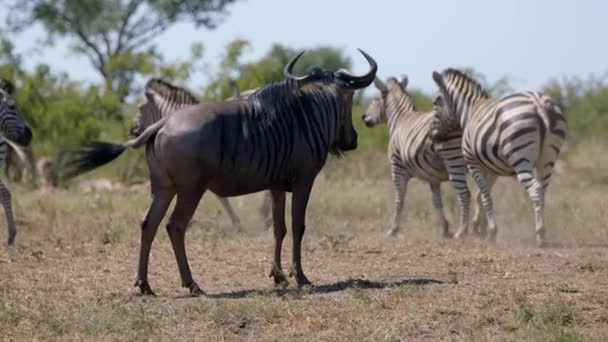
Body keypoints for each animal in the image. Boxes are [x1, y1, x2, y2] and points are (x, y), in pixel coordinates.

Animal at [360, 75, 470, 238]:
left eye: (376, 98)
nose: (364, 117)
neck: (400, 119)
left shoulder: (397, 168)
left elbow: (399, 199)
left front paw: (393, 229)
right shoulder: (432, 175)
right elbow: (437, 201)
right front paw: (444, 228)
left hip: (454, 161)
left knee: (465, 194)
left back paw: (463, 231)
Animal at [430, 69, 568, 246]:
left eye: (435, 102)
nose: (434, 138)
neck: (470, 110)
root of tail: (539, 104)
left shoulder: (473, 164)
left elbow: (485, 197)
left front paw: (491, 233)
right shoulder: (492, 169)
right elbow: (480, 195)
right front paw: (478, 228)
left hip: (519, 156)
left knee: (535, 190)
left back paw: (540, 236)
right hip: (547, 159)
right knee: (543, 190)